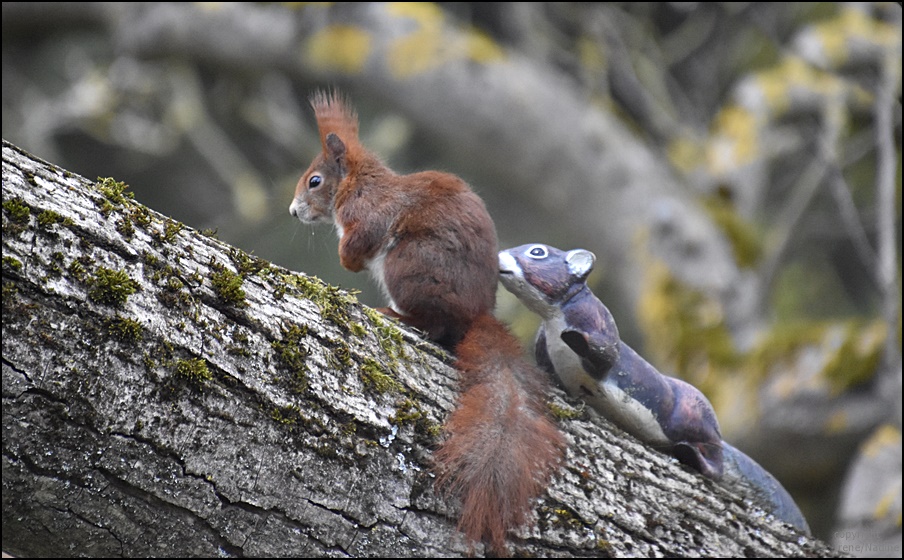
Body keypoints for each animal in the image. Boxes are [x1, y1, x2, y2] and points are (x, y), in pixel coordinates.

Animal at [290, 89, 560, 552]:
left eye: (314, 181)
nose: (293, 212)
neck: (358, 181)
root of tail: (476, 315)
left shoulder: (368, 213)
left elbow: (359, 241)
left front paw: (348, 261)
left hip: (407, 265)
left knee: (432, 327)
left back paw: (395, 314)